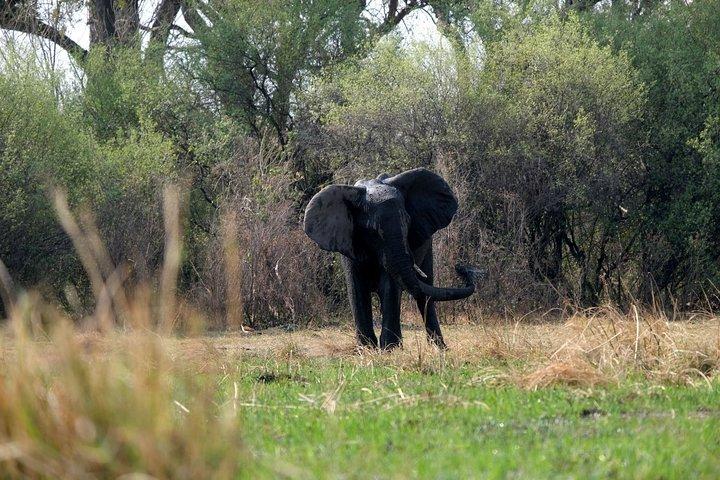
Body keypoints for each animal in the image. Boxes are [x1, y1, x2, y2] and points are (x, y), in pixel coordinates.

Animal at [303, 168, 477, 350]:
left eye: (407, 221)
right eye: (372, 230)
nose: (462, 268)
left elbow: (389, 285)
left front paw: (390, 348)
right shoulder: (349, 240)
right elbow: (356, 288)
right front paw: (366, 349)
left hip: (428, 246)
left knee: (425, 292)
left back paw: (439, 349)